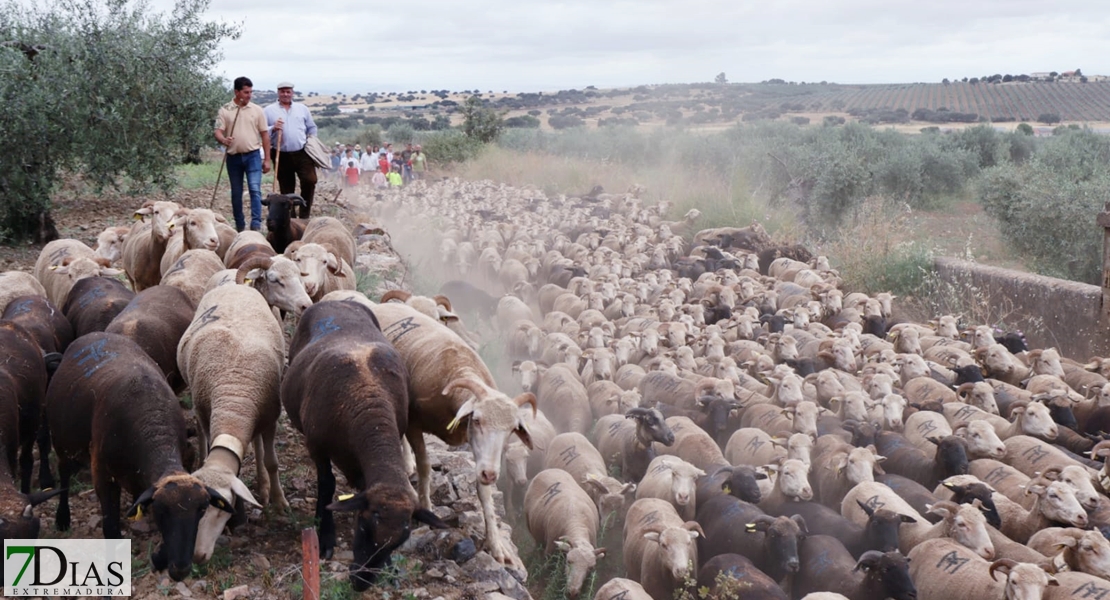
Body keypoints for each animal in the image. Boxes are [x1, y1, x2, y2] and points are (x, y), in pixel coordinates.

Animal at [47, 332, 227, 581]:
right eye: (162, 511)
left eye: (201, 510)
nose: (181, 570)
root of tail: (96, 334)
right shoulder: (101, 472)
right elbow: (111, 528)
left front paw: (159, 556)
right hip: (62, 441)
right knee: (64, 474)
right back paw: (62, 518)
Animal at [177, 282, 290, 563]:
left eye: (221, 509)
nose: (198, 556)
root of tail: (236, 283)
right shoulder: (208, 413)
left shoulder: (270, 418)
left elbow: (272, 462)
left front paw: (278, 500)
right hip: (198, 402)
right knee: (203, 436)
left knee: (258, 445)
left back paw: (263, 485)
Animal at [281, 297, 446, 585]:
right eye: (363, 525)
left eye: (399, 542)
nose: (361, 584)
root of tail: (338, 301)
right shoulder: (317, 445)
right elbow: (327, 484)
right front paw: (325, 535)